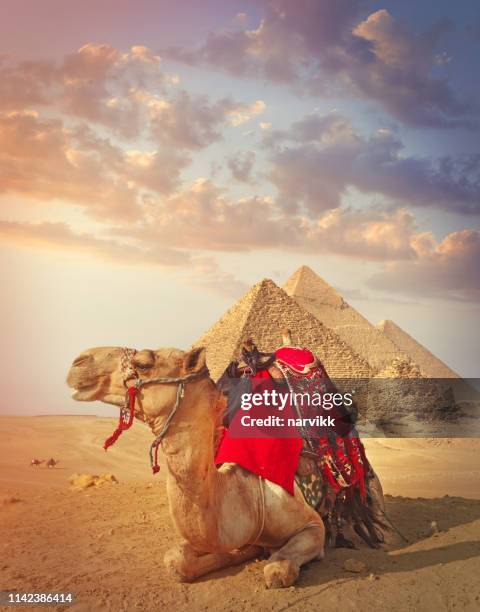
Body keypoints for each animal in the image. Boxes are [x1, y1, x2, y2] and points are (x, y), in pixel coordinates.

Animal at [66, 344, 386, 588]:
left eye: (143, 363)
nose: (78, 361)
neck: (245, 494)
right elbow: (176, 561)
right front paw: (232, 555)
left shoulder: (312, 526)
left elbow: (277, 570)